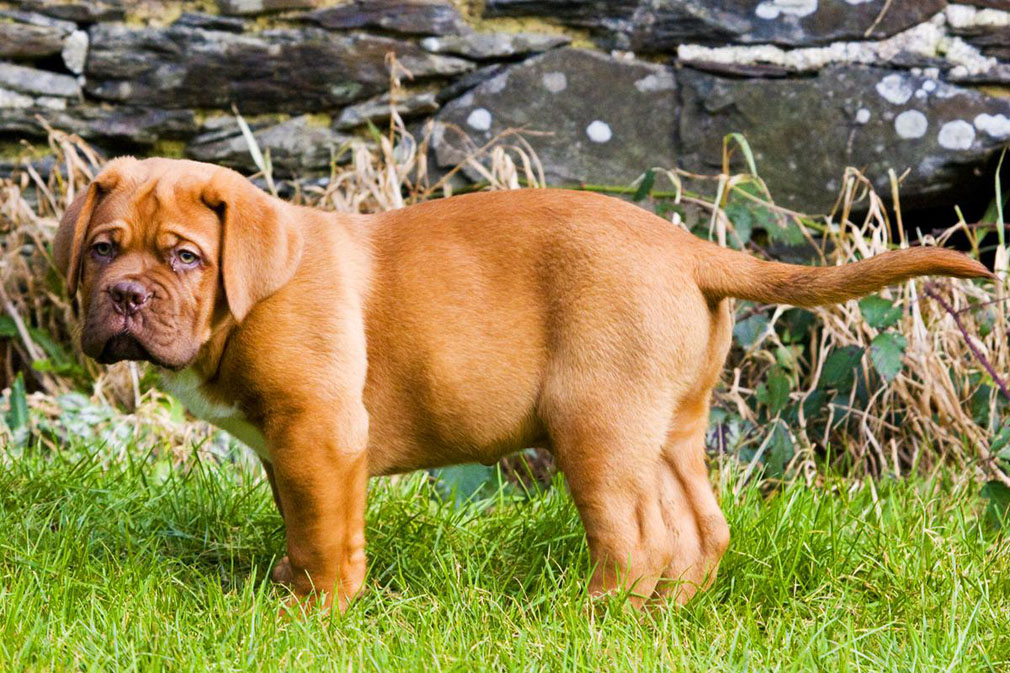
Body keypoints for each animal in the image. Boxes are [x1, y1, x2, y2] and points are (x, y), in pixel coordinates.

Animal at [57, 155, 993, 606]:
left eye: (186, 256)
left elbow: (326, 532)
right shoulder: (288, 448)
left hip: (595, 428)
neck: (244, 304)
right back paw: (667, 615)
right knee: (702, 530)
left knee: (635, 541)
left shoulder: (319, 432)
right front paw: (289, 585)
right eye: (102, 248)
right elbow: (302, 520)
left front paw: (313, 611)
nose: (125, 296)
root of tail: (691, 246)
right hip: (667, 429)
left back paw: (591, 617)